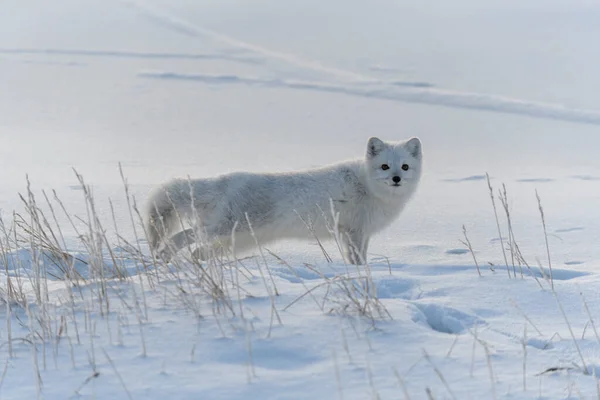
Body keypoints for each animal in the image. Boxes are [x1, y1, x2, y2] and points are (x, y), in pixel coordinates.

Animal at [144, 138, 422, 266]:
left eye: (405, 166)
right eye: (384, 166)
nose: (396, 178)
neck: (368, 186)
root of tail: (227, 180)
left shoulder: (359, 233)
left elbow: (358, 257)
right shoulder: (354, 231)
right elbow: (356, 258)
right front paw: (360, 273)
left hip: (235, 240)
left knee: (197, 250)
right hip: (223, 227)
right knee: (185, 235)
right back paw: (164, 255)